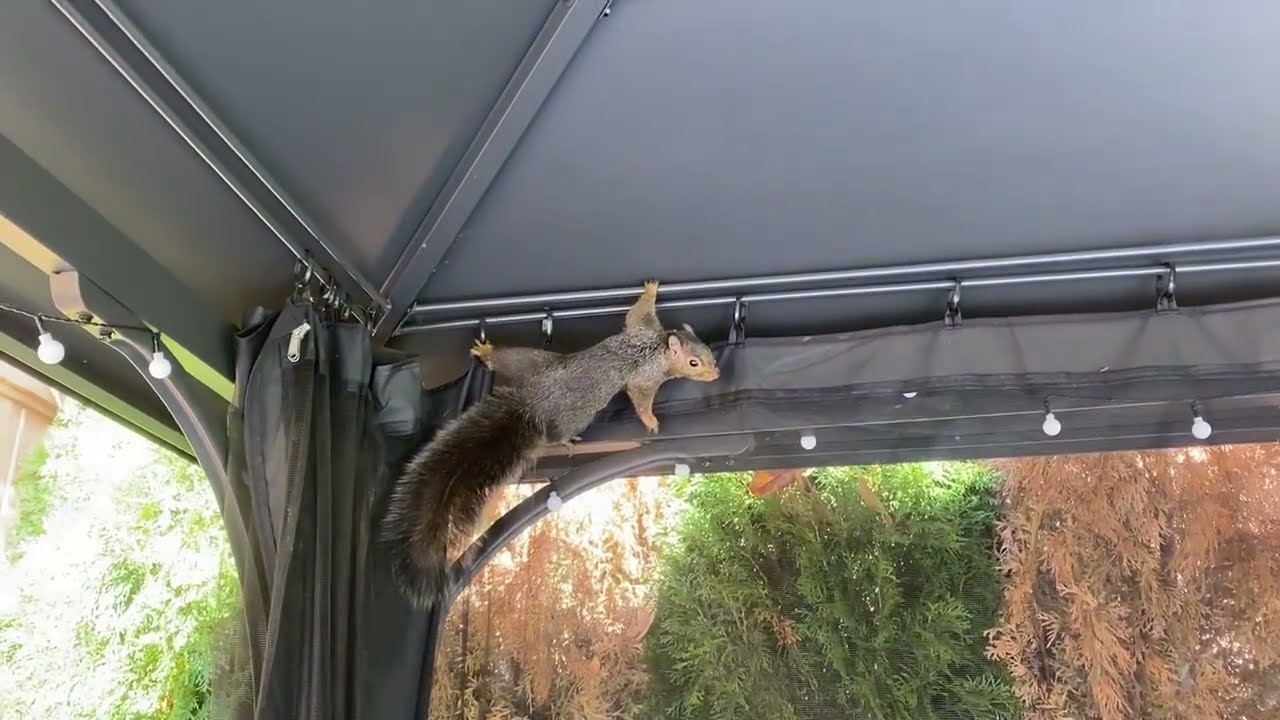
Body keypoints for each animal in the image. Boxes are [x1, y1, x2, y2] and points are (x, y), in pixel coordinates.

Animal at [380, 280, 720, 608]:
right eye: (694, 362)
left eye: (710, 353)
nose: (716, 373)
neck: (657, 348)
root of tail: (534, 404)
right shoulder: (645, 375)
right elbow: (640, 396)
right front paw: (650, 421)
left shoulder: (642, 329)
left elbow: (635, 314)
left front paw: (650, 289)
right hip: (577, 413)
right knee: (556, 430)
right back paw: (566, 439)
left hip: (532, 362)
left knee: (509, 360)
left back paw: (487, 351)